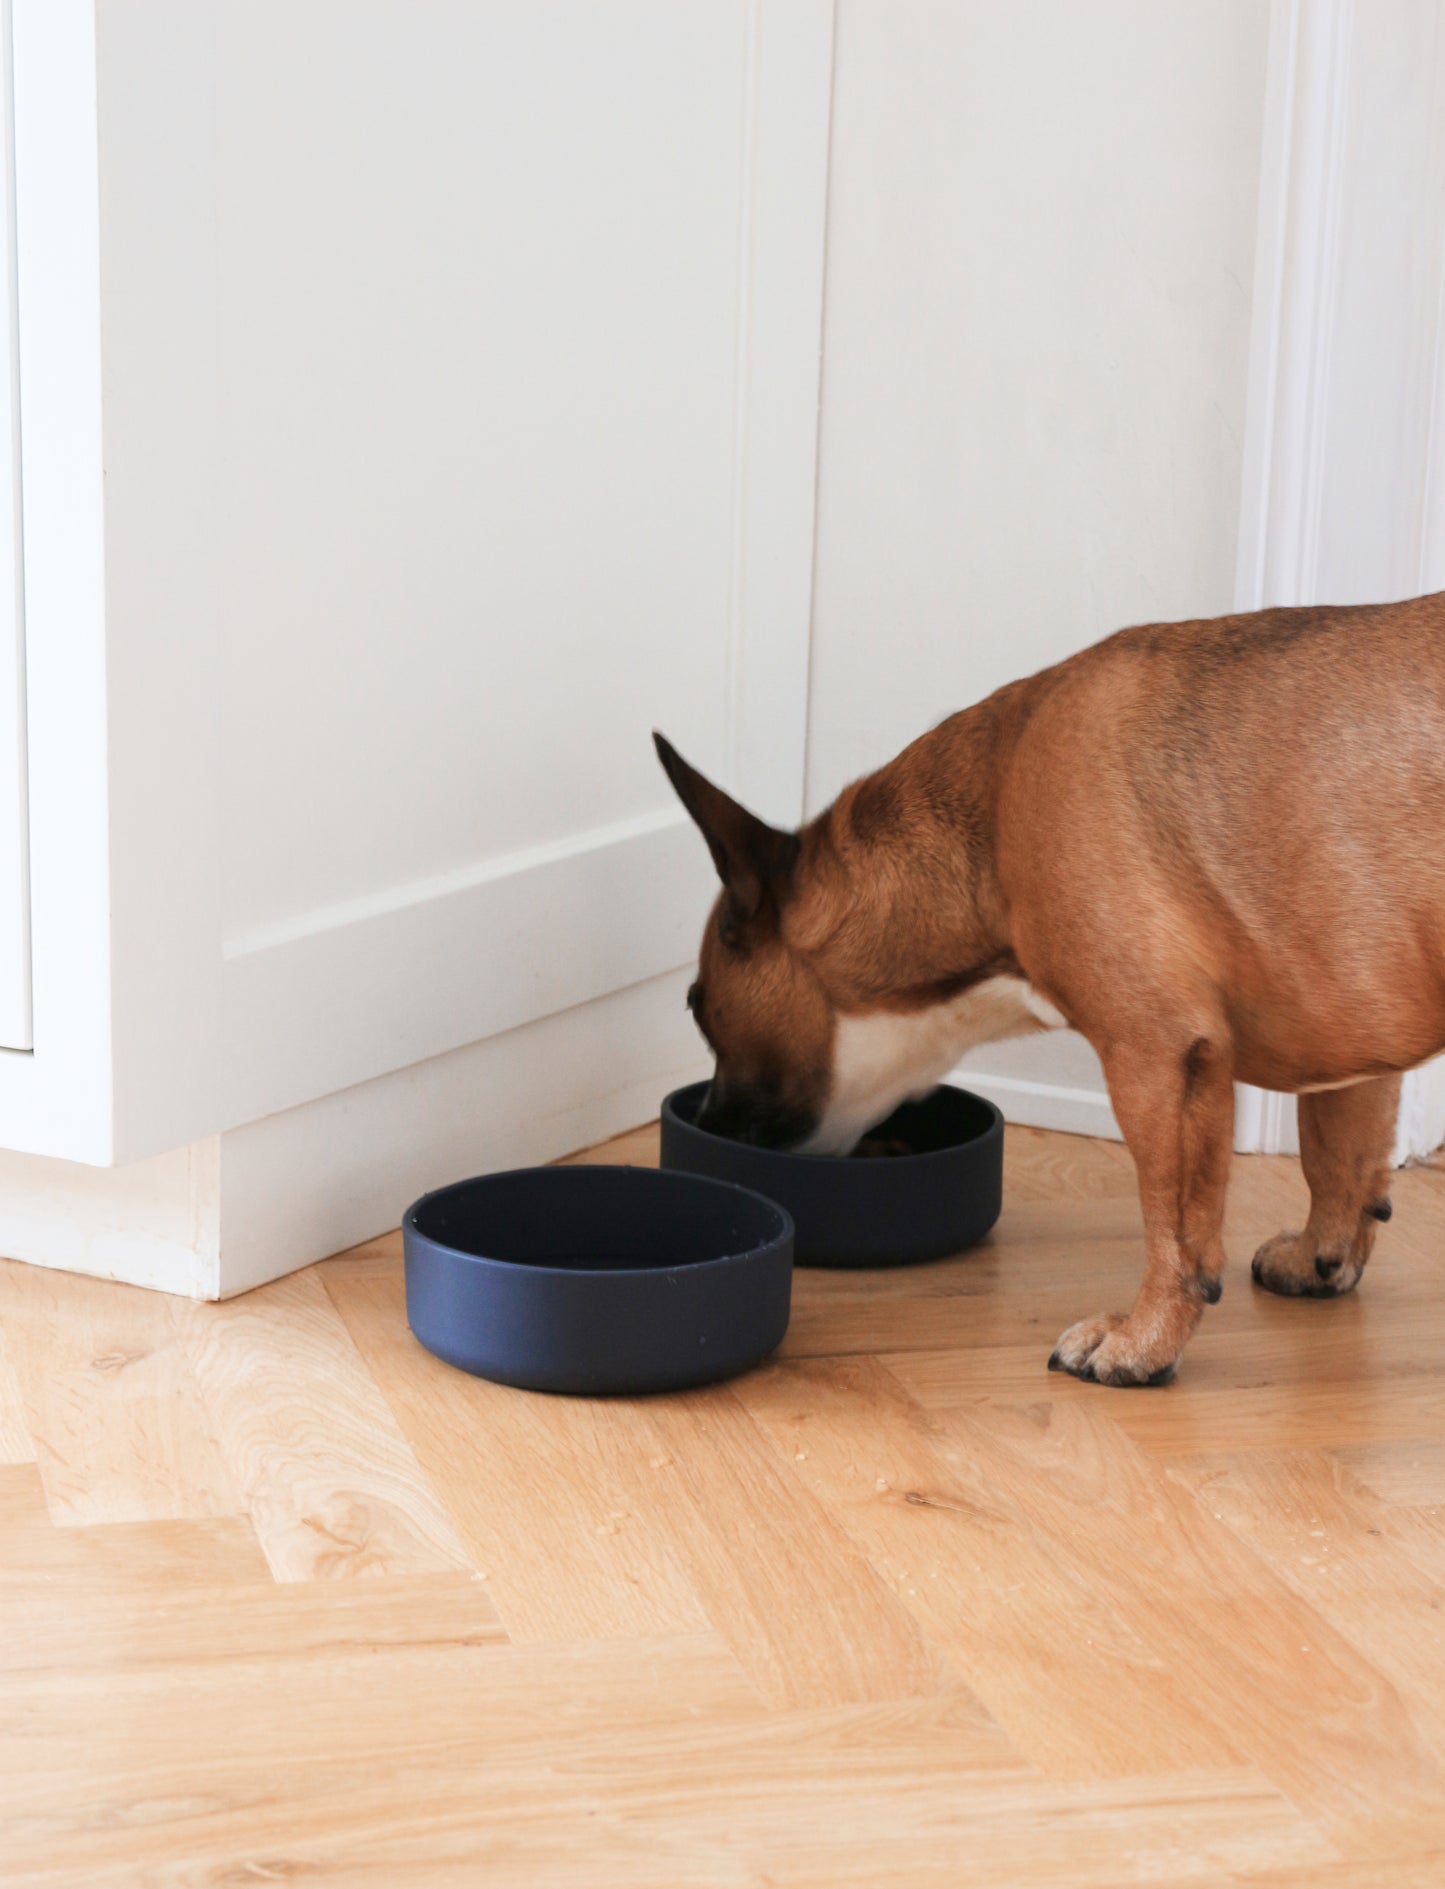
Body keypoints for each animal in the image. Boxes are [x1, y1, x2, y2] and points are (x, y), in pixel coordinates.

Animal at [653, 593, 1443, 1390]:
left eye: (696, 1008)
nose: (707, 1119)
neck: (988, 832)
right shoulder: (1350, 1015)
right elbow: (1337, 1148)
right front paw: (1322, 1254)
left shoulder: (1156, 1056)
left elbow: (1173, 1225)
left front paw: (1142, 1338)